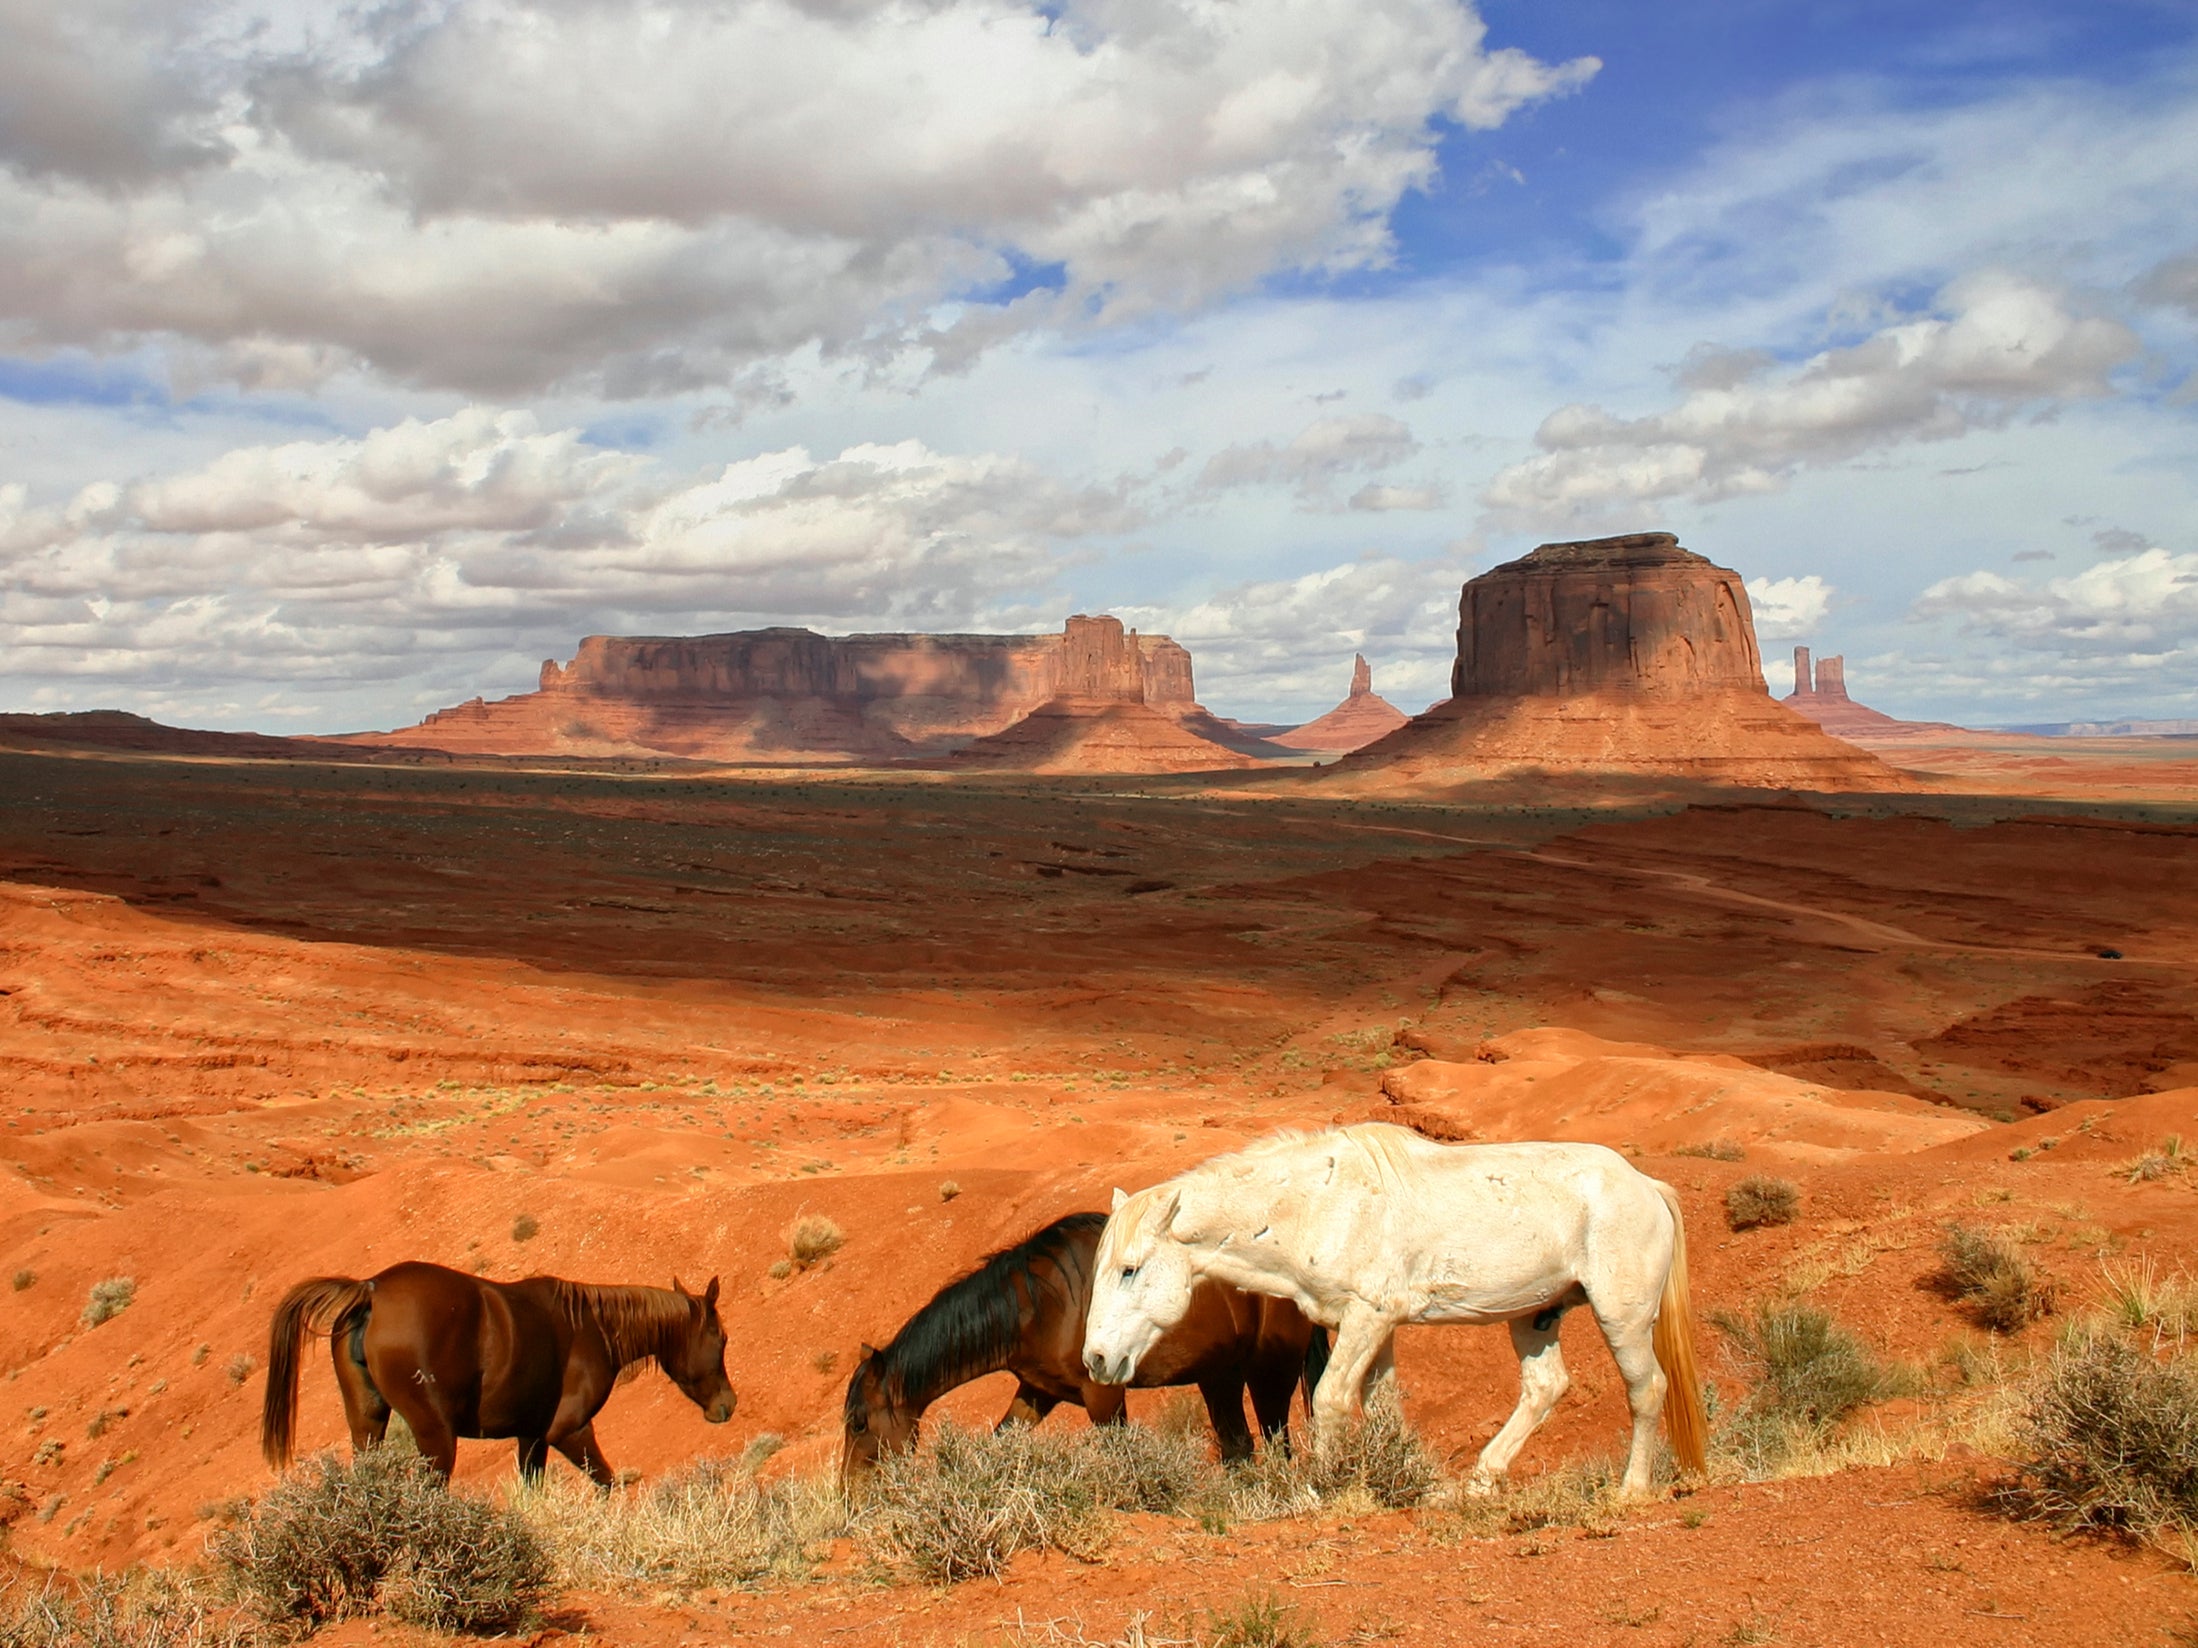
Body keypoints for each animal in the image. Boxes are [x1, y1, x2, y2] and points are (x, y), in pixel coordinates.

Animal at [260, 1265, 734, 1485]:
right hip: (435, 1435)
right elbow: (607, 1483)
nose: (727, 1405)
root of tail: (372, 1289)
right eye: (723, 1338)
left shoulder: (533, 1437)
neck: (594, 1329)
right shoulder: (570, 1431)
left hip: (367, 1421)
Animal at [835, 1204, 1318, 1494]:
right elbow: (1001, 1442)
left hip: (1270, 1371)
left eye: (859, 1423)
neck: (1041, 1305)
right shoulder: (1037, 1391)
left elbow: (1121, 1454)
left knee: (1277, 1441)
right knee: (1240, 1447)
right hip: (1219, 1376)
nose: (849, 1494)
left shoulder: (1102, 1393)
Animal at [1081, 1133, 1714, 1502]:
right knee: (1545, 1387)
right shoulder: (1373, 1328)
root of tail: (1647, 1186)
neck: (1319, 1204)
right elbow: (1384, 1407)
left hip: (1622, 1317)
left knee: (1647, 1389)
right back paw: (1481, 1481)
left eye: (1130, 1270)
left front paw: (1324, 1489)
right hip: (1534, 1316)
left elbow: (1332, 1400)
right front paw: (1407, 1478)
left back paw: (1631, 1491)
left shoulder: (1367, 1317)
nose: (1096, 1359)